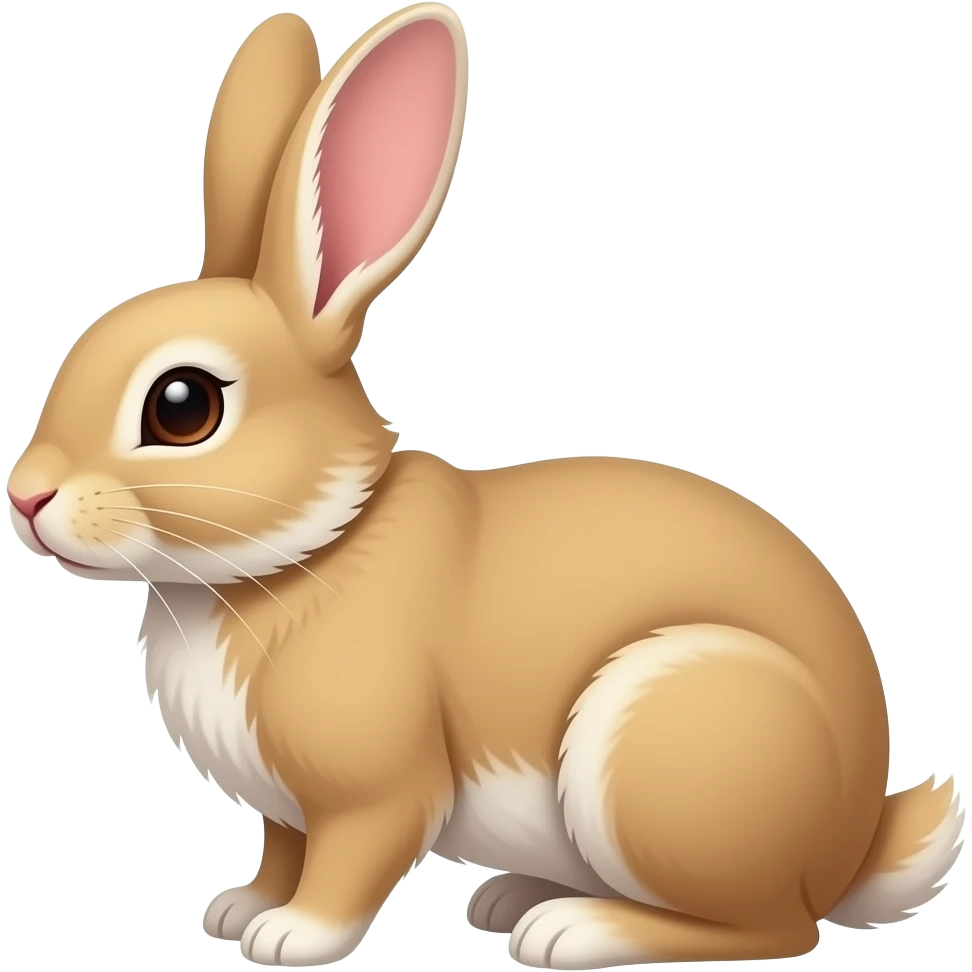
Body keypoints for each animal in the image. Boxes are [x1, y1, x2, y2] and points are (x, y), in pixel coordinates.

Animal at [5, 4, 965, 970]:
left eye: (183, 406)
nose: (26, 498)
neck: (311, 547)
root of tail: (851, 846)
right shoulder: (287, 810)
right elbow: (282, 851)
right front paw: (239, 910)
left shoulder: (375, 790)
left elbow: (350, 863)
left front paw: (291, 937)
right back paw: (515, 898)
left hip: (661, 742)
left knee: (772, 927)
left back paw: (572, 929)